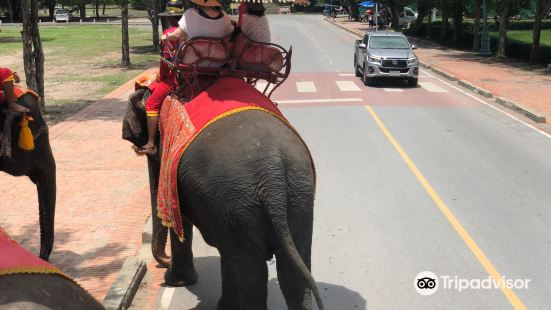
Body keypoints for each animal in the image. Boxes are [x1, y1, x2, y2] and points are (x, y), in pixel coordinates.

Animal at [123, 85, 326, 310]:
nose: (164, 263)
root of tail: (272, 173)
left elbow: (181, 222)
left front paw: (175, 281)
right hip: (295, 195)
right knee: (291, 271)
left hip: (238, 199)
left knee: (251, 273)